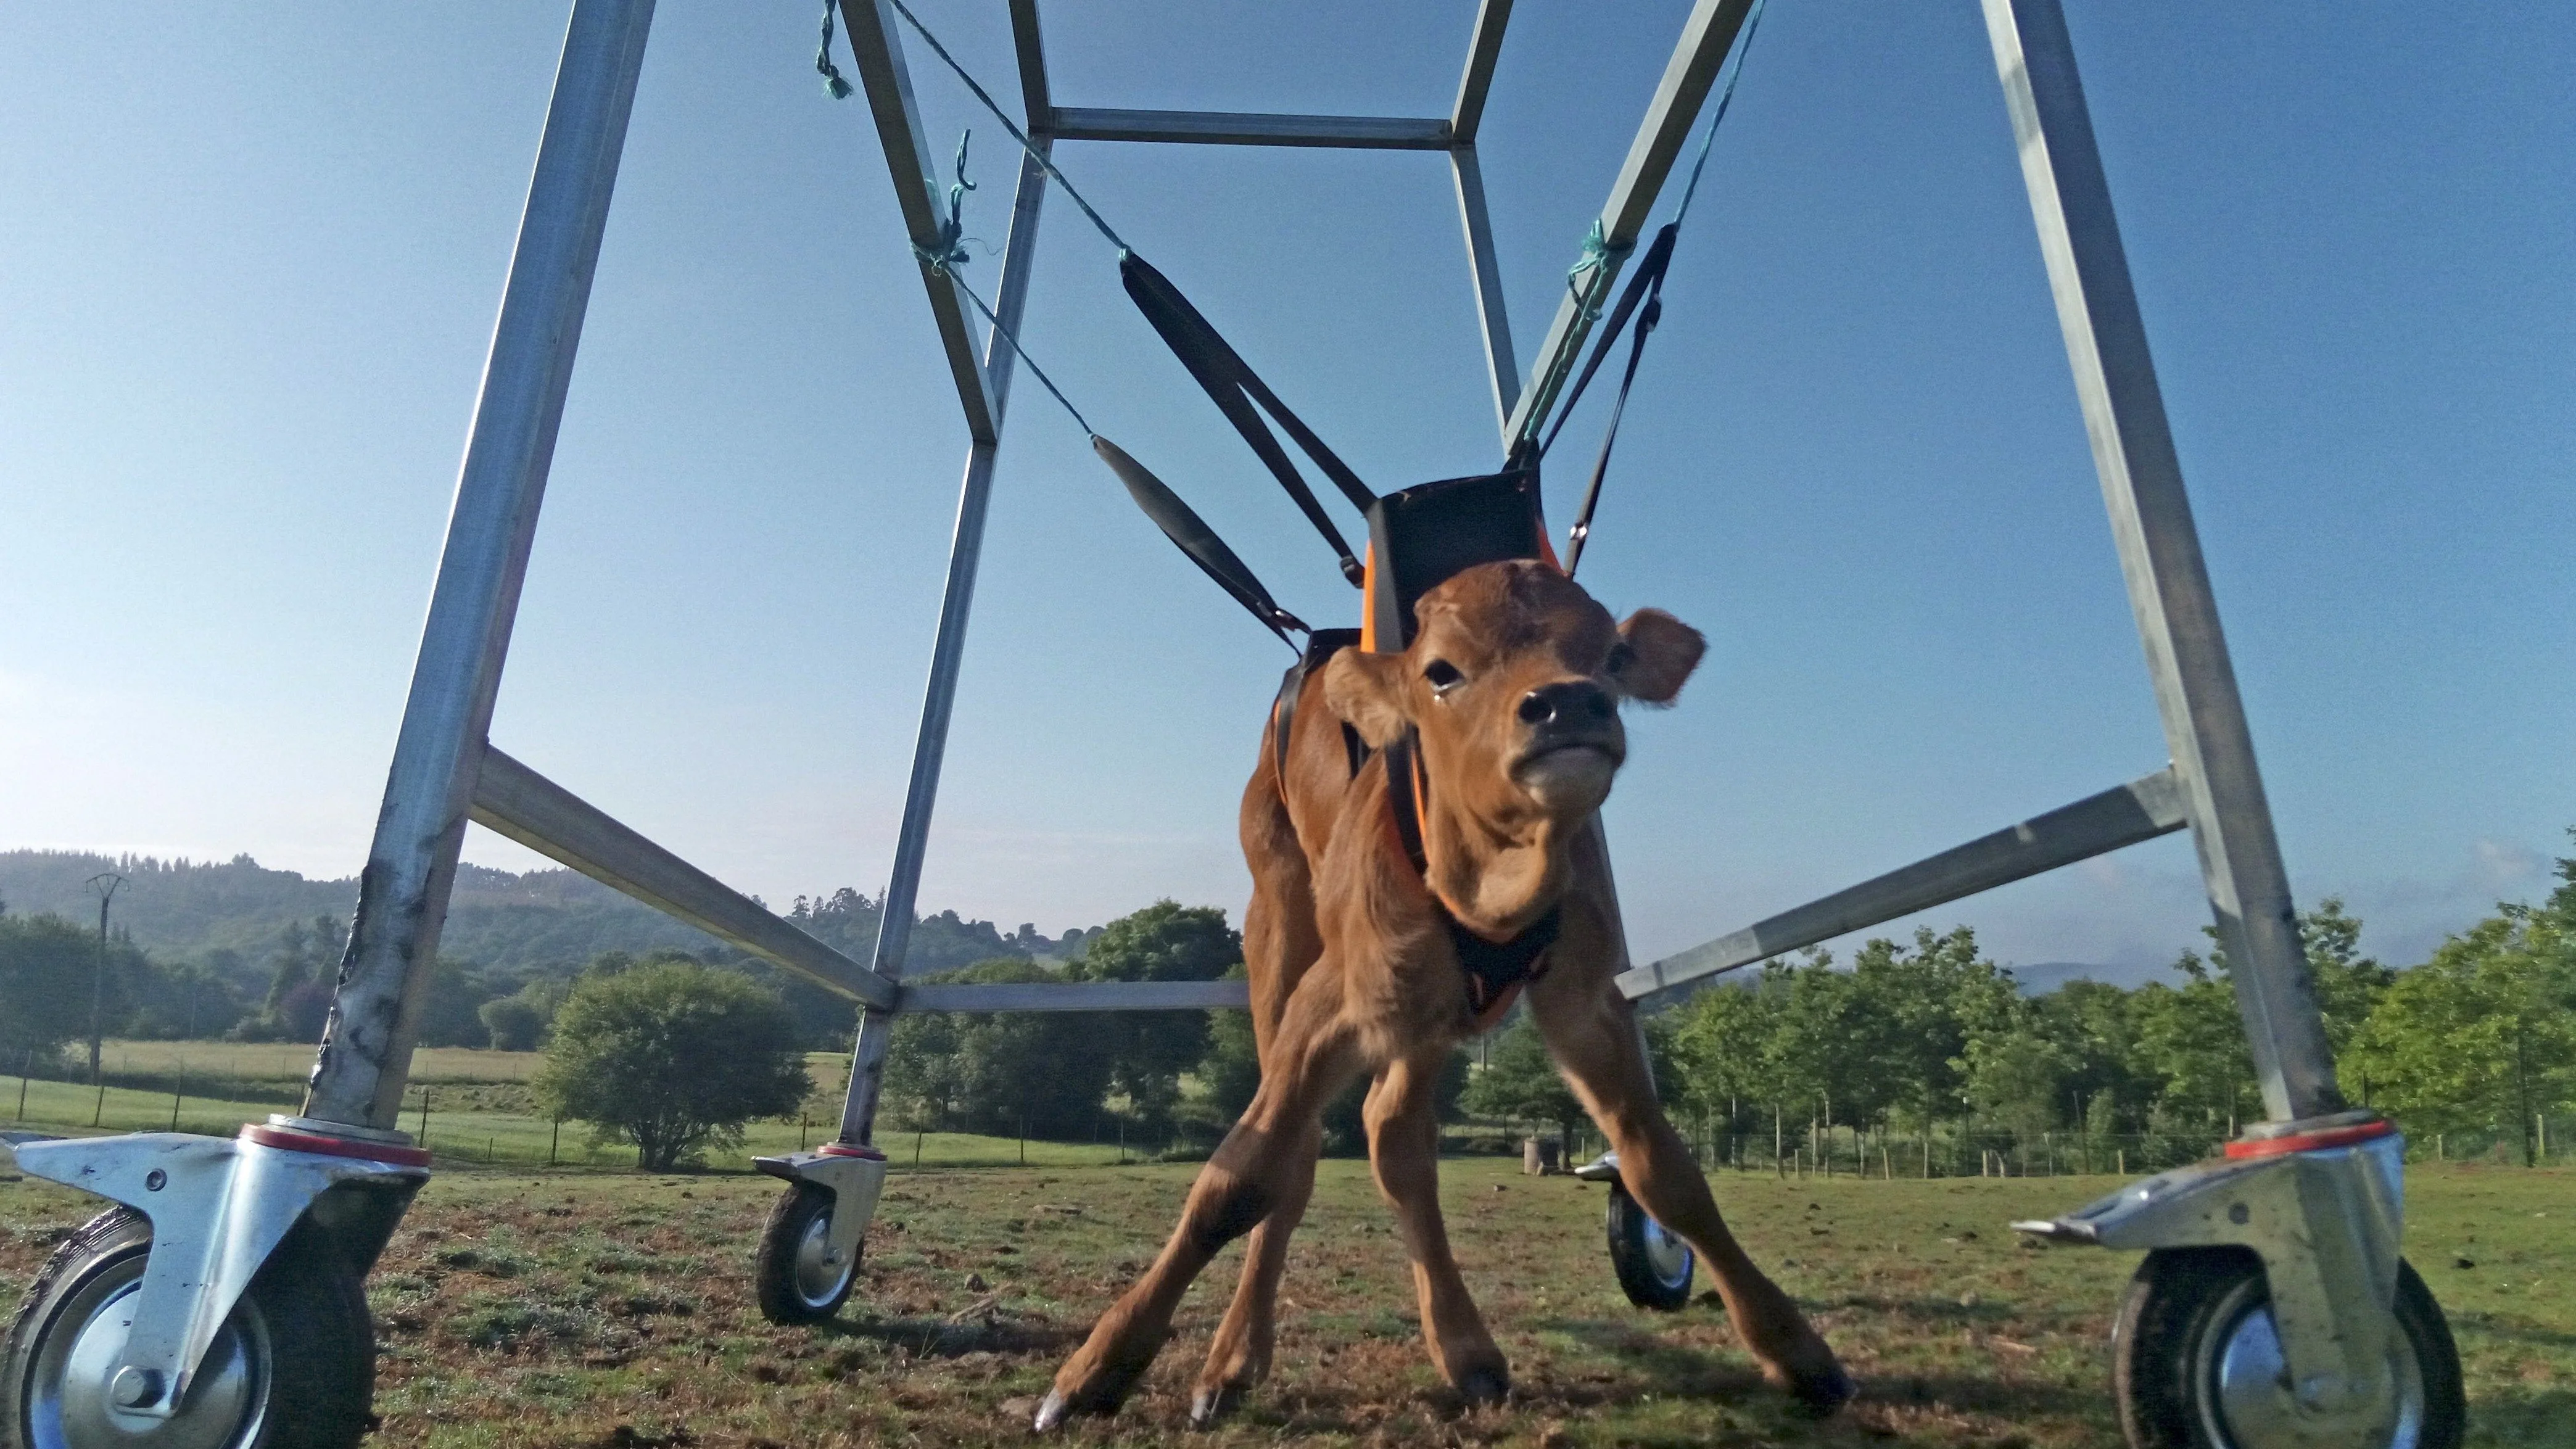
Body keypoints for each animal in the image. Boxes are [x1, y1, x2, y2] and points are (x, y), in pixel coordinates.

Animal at [1030, 562, 1854, 1423]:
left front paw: (1795, 1350)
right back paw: (1233, 1361)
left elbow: (1664, 1168)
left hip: (1428, 1011)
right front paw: (1096, 1369)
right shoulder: (1333, 997)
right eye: (1442, 672)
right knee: (1300, 1150)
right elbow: (1239, 1178)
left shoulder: (1584, 997)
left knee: (1393, 1135)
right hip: (1278, 928)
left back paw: (1466, 1352)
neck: (1494, 883)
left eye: (1612, 656)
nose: (1567, 701)